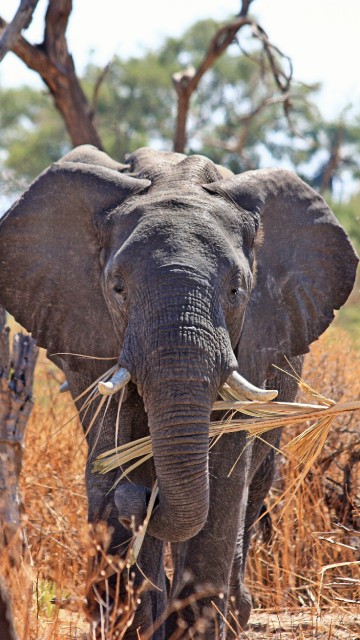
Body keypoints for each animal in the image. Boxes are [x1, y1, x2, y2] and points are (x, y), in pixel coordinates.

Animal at [0, 148, 358, 636]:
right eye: (117, 288)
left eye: (236, 290)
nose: (138, 500)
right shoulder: (88, 328)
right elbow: (113, 444)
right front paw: (133, 623)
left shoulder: (256, 335)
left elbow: (224, 470)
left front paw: (190, 629)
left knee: (255, 486)